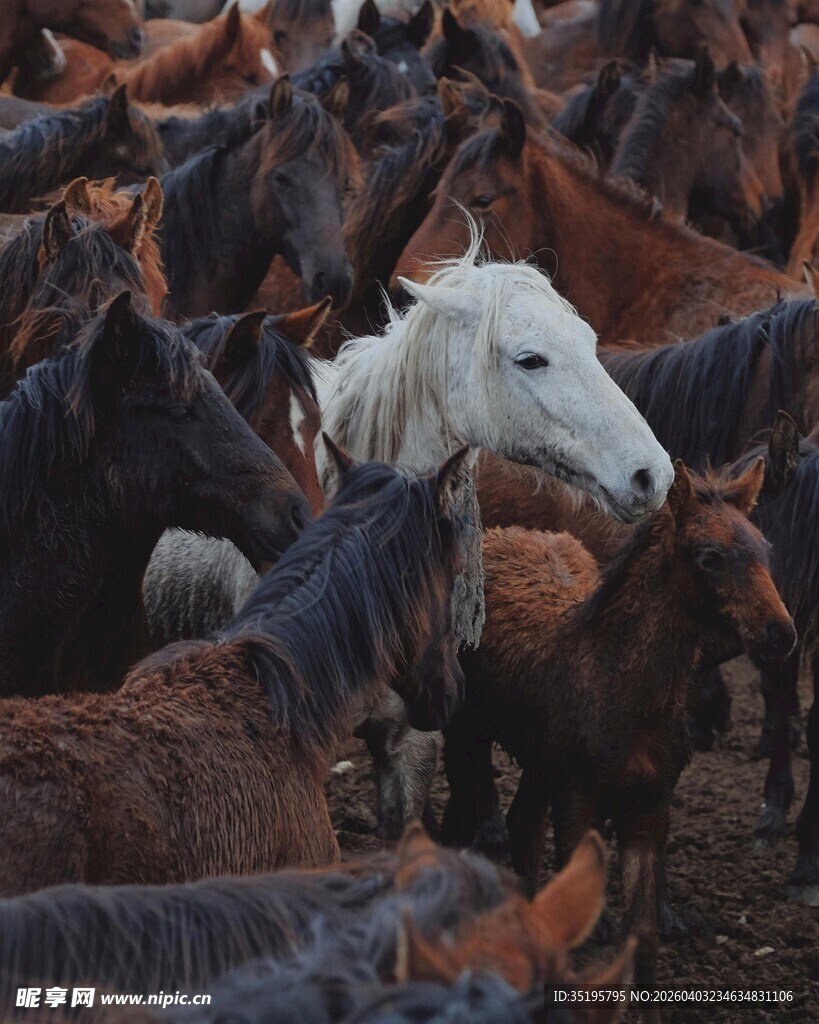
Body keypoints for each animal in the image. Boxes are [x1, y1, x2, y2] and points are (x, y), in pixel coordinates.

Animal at [443, 461, 796, 1020]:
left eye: (764, 548)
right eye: (710, 557)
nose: (781, 633)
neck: (625, 694)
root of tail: (500, 534)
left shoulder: (650, 807)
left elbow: (643, 936)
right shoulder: (578, 802)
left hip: (541, 763)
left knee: (522, 828)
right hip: (467, 735)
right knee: (459, 821)